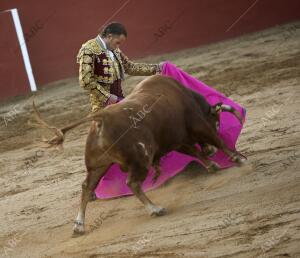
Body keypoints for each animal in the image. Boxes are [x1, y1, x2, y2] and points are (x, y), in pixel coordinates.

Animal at [32, 74, 245, 234]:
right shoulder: (197, 125)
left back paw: (79, 226)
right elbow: (216, 139)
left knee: (87, 187)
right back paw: (155, 209)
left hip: (98, 165)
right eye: (217, 121)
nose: (211, 151)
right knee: (132, 183)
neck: (185, 95)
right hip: (142, 159)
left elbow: (193, 151)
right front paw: (236, 157)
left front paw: (212, 164)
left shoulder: (175, 140)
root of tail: (102, 116)